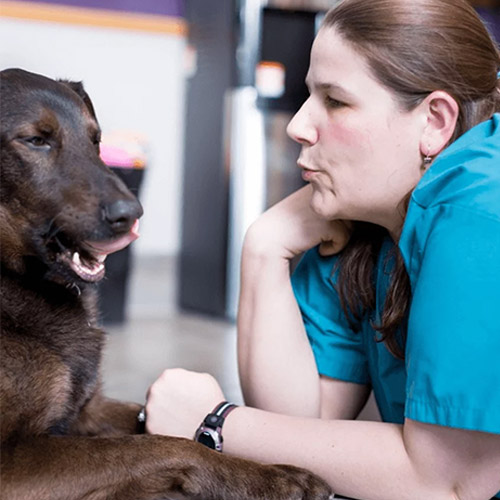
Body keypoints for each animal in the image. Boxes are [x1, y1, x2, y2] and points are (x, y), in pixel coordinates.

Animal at [0, 69, 336, 500]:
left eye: (96, 140)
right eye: (35, 140)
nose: (132, 214)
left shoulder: (89, 410)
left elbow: (151, 427)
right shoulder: (11, 460)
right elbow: (161, 446)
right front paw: (272, 478)